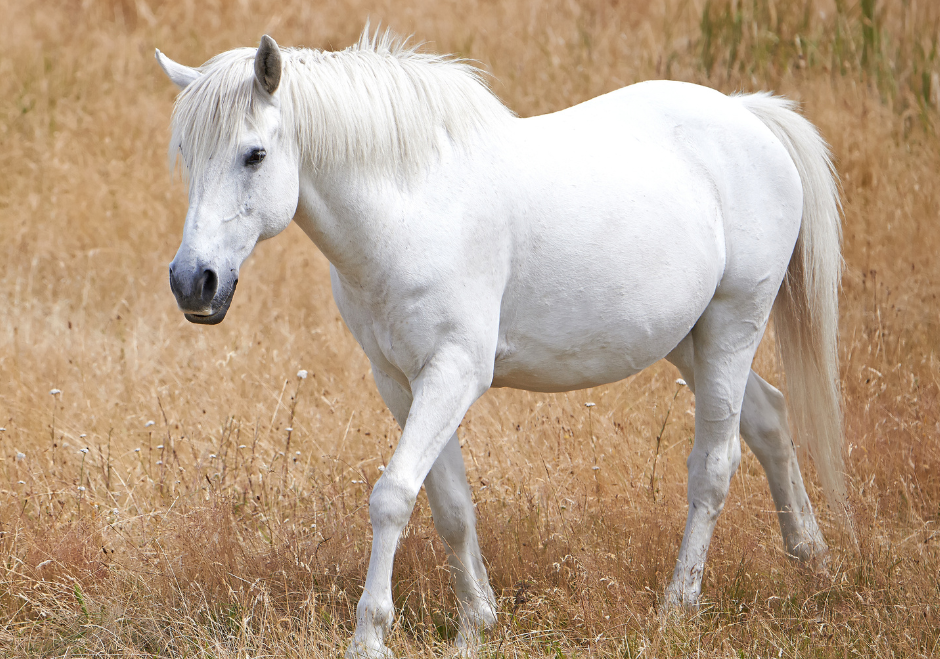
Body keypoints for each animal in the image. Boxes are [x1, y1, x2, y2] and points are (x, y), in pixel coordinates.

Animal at [154, 31, 844, 659]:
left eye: (254, 155)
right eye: (187, 151)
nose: (193, 281)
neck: (412, 210)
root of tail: (749, 116)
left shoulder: (454, 373)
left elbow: (393, 496)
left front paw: (370, 636)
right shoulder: (400, 381)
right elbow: (449, 504)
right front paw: (475, 626)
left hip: (732, 324)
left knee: (715, 464)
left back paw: (679, 606)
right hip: (689, 340)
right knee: (769, 419)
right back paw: (813, 562)